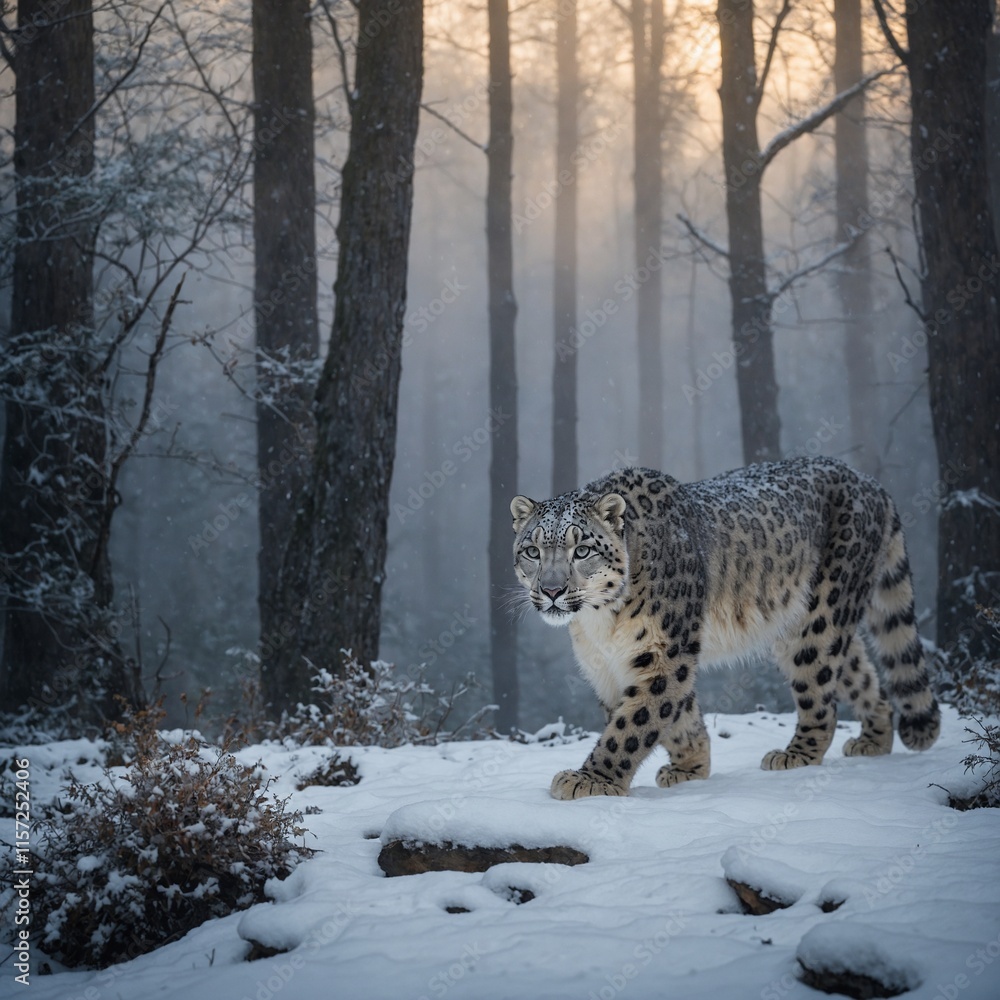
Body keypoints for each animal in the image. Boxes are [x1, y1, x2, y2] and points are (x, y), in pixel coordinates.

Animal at [510, 457, 941, 800]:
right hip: (807, 626)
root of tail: (870, 482)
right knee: (862, 675)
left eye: (582, 549)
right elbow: (675, 715)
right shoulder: (610, 665)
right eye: (532, 550)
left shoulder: (665, 653)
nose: (551, 590)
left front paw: (591, 779)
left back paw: (796, 754)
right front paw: (692, 766)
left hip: (820, 618)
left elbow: (633, 723)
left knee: (820, 691)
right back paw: (872, 740)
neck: (600, 622)